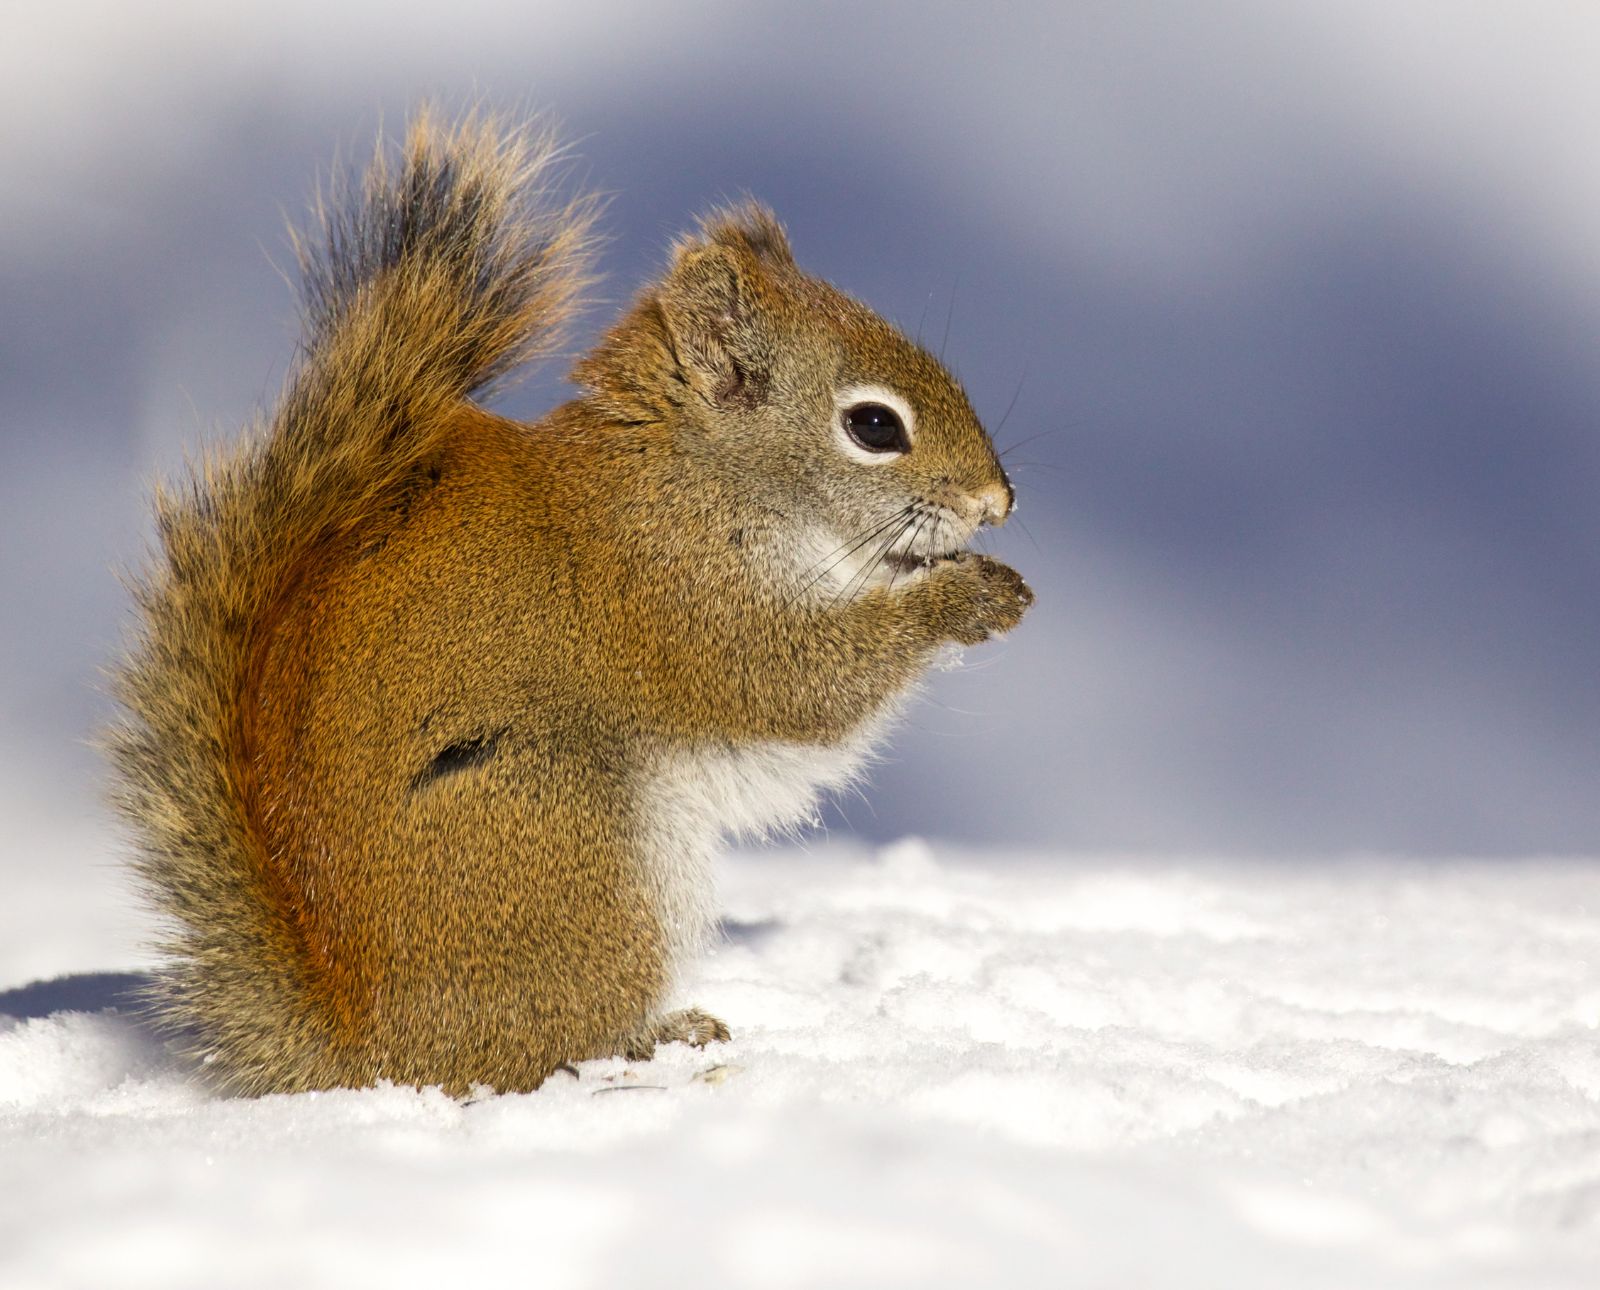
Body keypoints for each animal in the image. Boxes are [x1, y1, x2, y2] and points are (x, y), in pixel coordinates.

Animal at [107, 109, 1032, 1097]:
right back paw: (647, 1038)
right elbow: (797, 686)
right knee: (529, 1050)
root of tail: (364, 1045)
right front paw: (966, 596)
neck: (696, 476)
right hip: (572, 842)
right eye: (873, 426)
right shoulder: (672, 601)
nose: (998, 502)